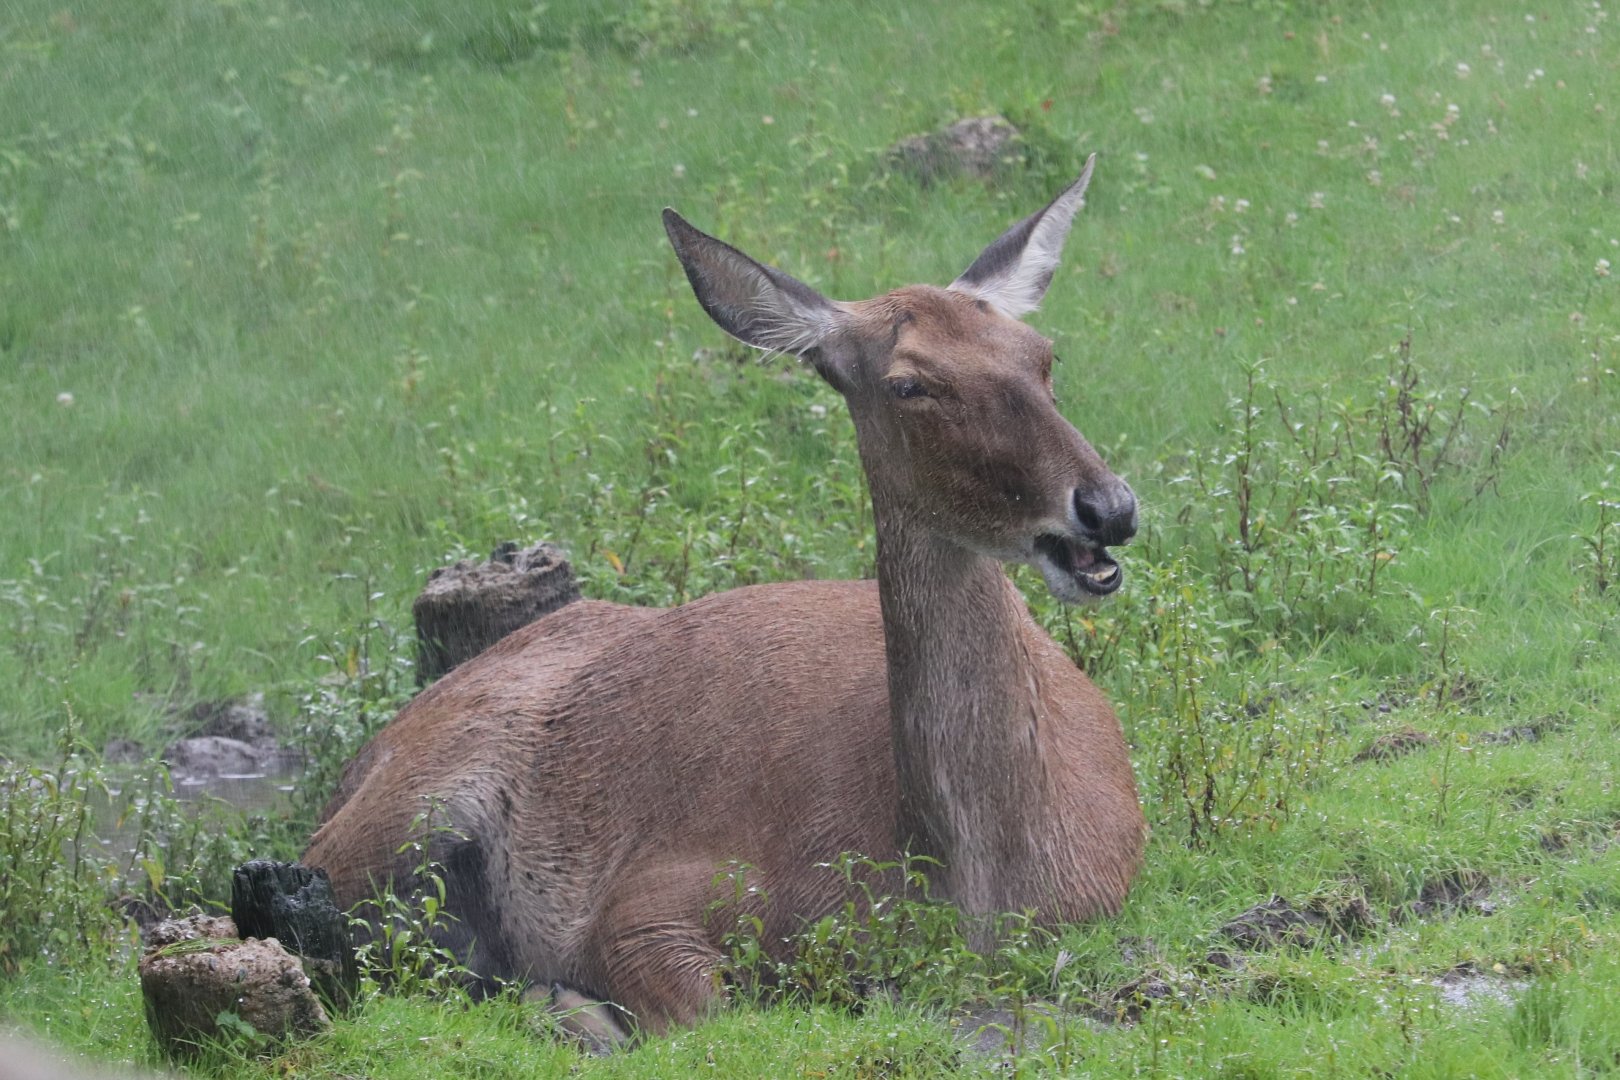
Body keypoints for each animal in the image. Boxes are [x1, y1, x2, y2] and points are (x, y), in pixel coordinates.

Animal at [301, 155, 1146, 1041]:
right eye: (910, 384)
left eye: (1042, 353)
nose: (1108, 507)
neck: (973, 886)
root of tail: (355, 763)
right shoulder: (650, 892)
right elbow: (703, 1014)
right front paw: (578, 1006)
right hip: (413, 801)